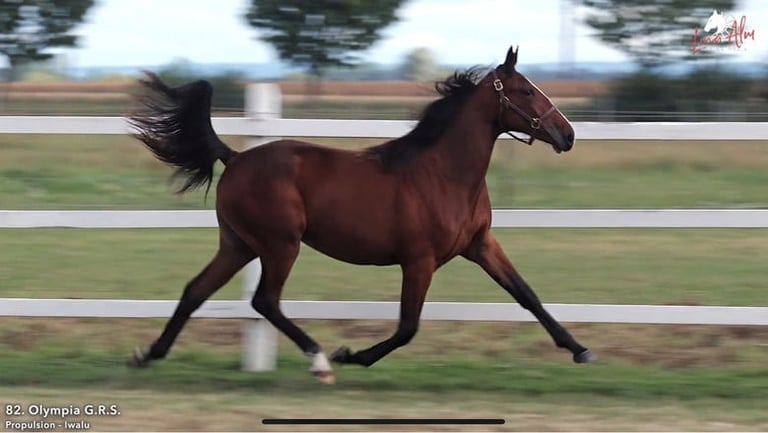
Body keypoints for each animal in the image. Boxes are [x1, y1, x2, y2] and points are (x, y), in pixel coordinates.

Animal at [127, 45, 595, 384]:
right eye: (526, 91)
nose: (568, 135)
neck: (443, 173)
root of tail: (236, 156)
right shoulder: (419, 260)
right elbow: (408, 327)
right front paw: (351, 355)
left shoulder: (480, 245)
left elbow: (527, 295)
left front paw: (580, 350)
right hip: (280, 244)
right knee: (265, 300)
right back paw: (320, 361)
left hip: (239, 244)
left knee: (195, 290)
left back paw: (148, 354)